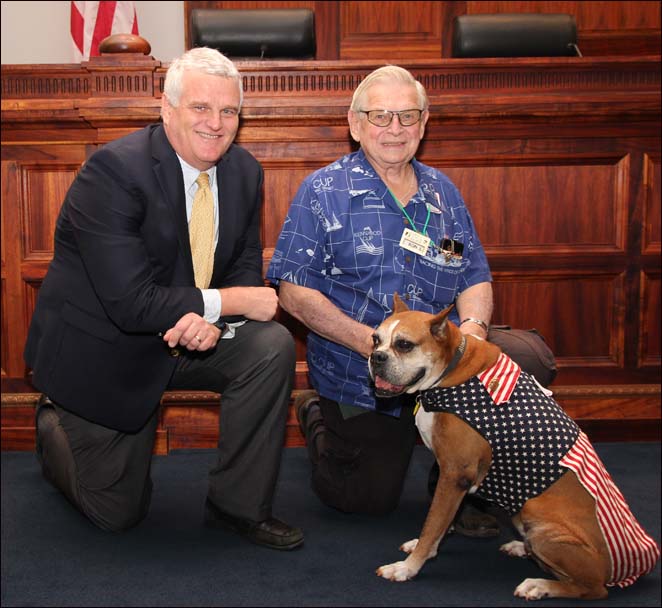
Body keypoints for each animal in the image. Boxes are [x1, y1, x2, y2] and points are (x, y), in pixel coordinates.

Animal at [370, 296, 660, 600]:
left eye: (404, 344)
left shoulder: (454, 475)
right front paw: (421, 548)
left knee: (593, 589)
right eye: (375, 339)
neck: (451, 369)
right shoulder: (452, 478)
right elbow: (440, 522)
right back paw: (523, 547)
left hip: (540, 519)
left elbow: (432, 524)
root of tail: (627, 567)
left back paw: (539, 585)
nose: (376, 357)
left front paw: (407, 567)